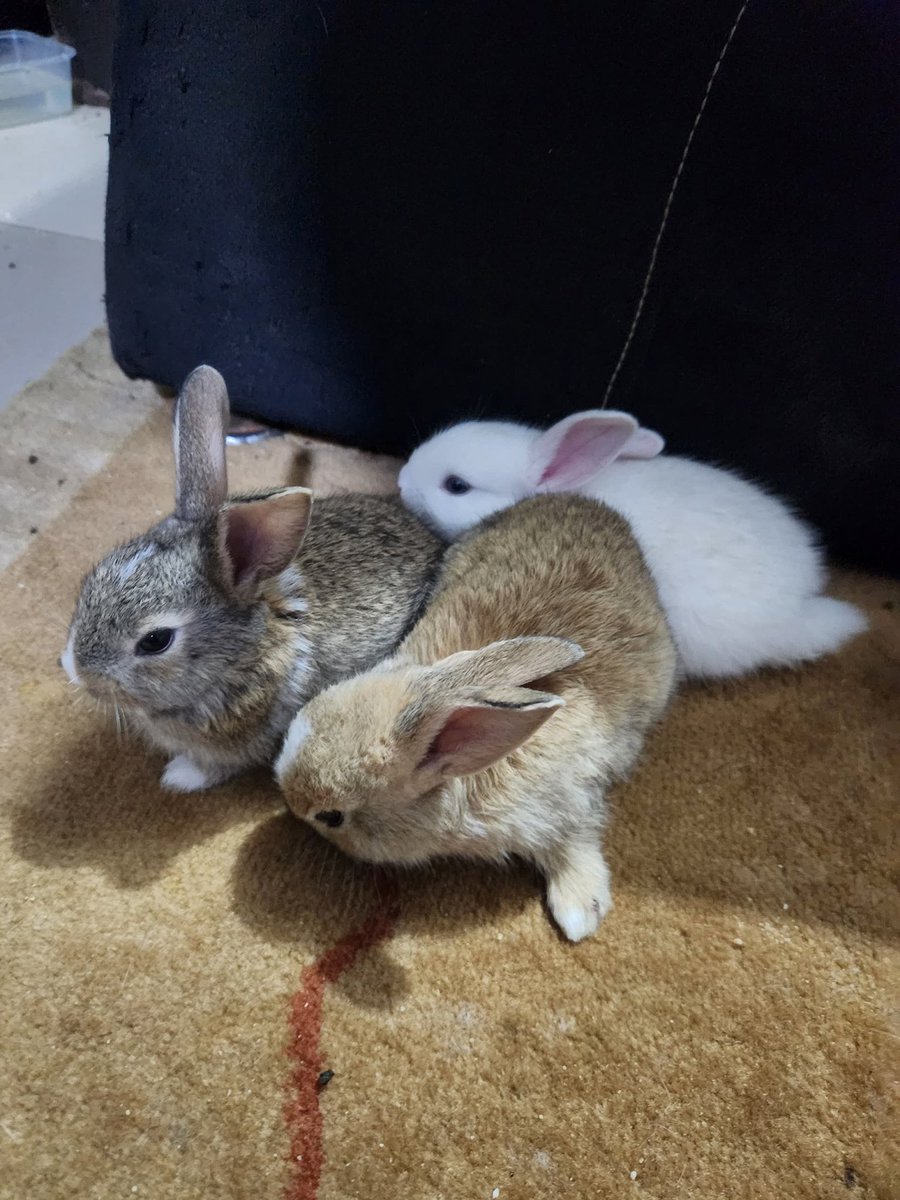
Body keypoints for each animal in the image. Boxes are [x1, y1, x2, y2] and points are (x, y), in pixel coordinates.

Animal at [62, 365, 445, 792]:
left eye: (156, 641)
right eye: (93, 579)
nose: (75, 670)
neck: (239, 655)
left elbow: (217, 765)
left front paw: (179, 777)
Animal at [275, 493, 678, 941]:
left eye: (332, 816)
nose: (289, 803)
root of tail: (582, 501)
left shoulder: (569, 803)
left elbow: (574, 840)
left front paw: (580, 912)